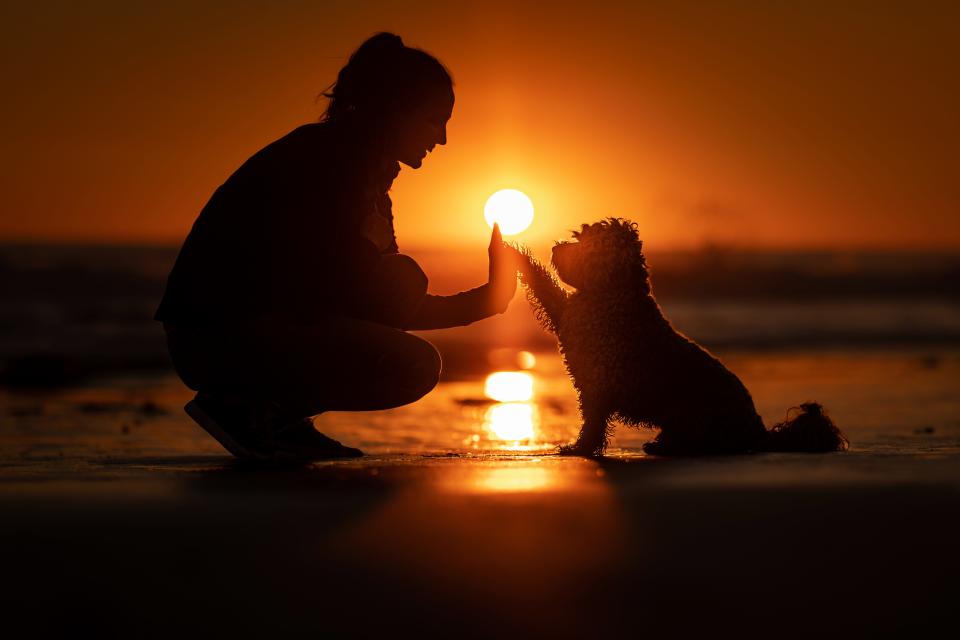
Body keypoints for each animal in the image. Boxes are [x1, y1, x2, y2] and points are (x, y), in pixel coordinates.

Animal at [512, 219, 844, 456]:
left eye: (585, 243)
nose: (556, 249)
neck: (614, 292)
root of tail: (758, 431)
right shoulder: (568, 317)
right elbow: (541, 282)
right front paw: (513, 252)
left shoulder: (600, 382)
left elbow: (593, 421)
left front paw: (580, 448)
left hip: (693, 413)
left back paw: (673, 446)